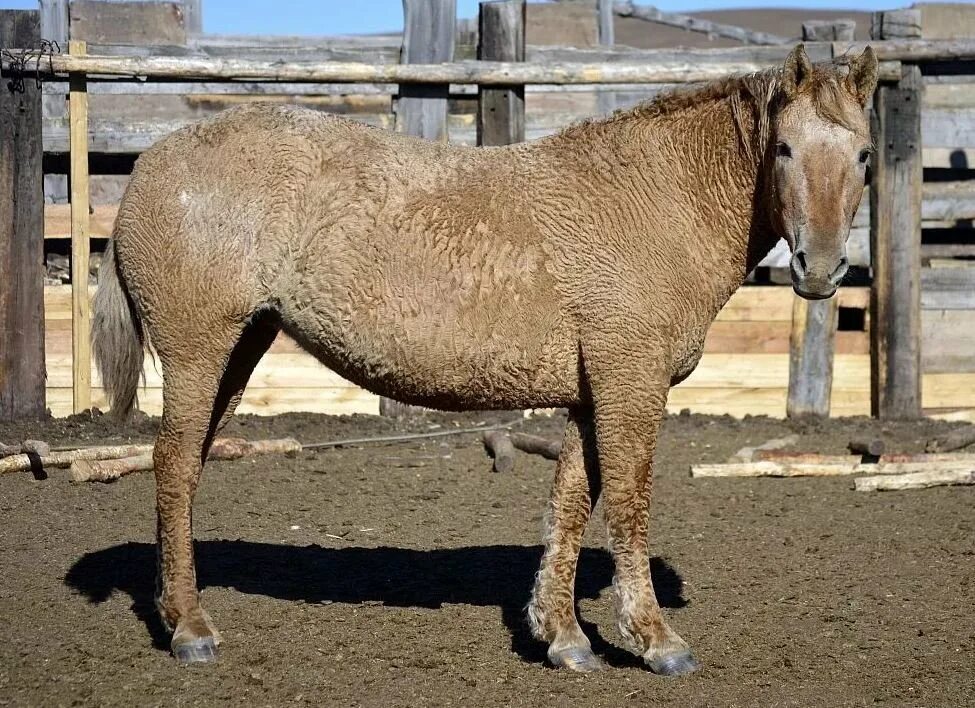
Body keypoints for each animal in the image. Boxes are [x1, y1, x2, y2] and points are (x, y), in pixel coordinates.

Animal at [95, 44, 880, 676]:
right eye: (784, 149)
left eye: (865, 155)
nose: (819, 267)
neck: (653, 200)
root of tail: (152, 162)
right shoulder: (630, 384)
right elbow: (627, 502)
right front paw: (654, 639)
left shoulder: (590, 393)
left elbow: (571, 503)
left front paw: (563, 638)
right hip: (200, 352)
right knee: (173, 465)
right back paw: (190, 629)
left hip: (240, 350)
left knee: (189, 465)